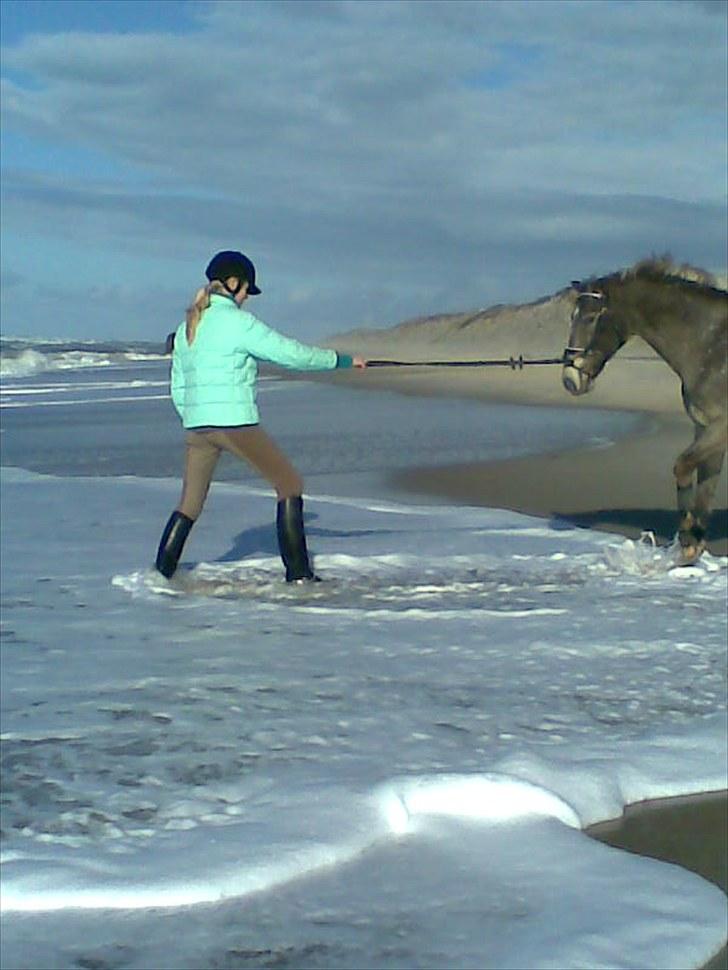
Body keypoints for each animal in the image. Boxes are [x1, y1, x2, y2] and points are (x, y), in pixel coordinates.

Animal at [564, 258, 728, 560]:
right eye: (572, 316)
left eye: (591, 317)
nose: (570, 379)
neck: (714, 346)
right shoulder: (706, 428)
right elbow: (705, 485)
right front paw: (693, 543)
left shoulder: (720, 427)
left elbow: (682, 467)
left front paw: (687, 537)